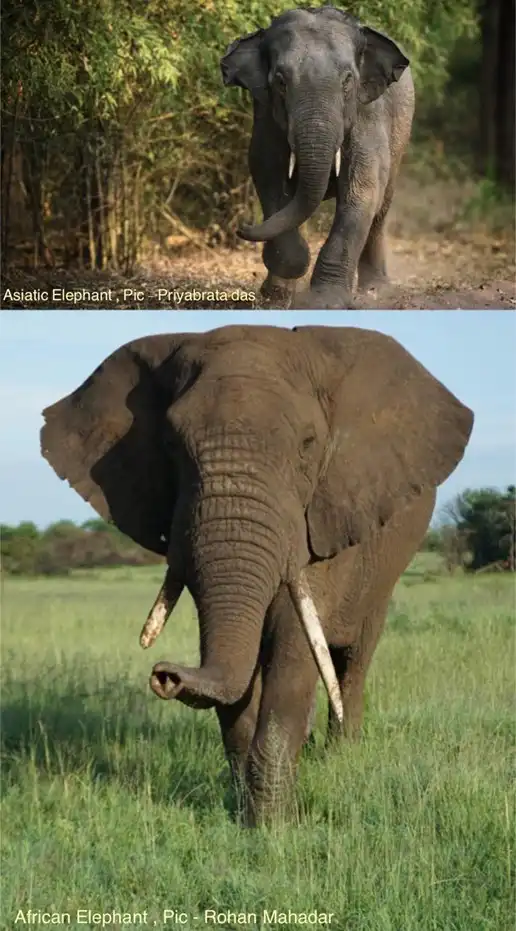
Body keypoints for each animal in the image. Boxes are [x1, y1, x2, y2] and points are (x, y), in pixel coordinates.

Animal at [40, 325, 473, 824]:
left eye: (308, 445)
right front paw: (247, 815)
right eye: (169, 445)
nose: (166, 673)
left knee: (352, 661)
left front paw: (273, 827)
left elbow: (294, 648)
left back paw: (341, 755)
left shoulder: (323, 515)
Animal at [221, 6, 415, 309]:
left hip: (401, 134)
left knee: (381, 208)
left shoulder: (368, 113)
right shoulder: (265, 114)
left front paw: (325, 300)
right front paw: (288, 274)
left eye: (348, 80)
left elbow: (361, 191)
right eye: (280, 81)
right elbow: (268, 173)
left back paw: (375, 291)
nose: (241, 227)